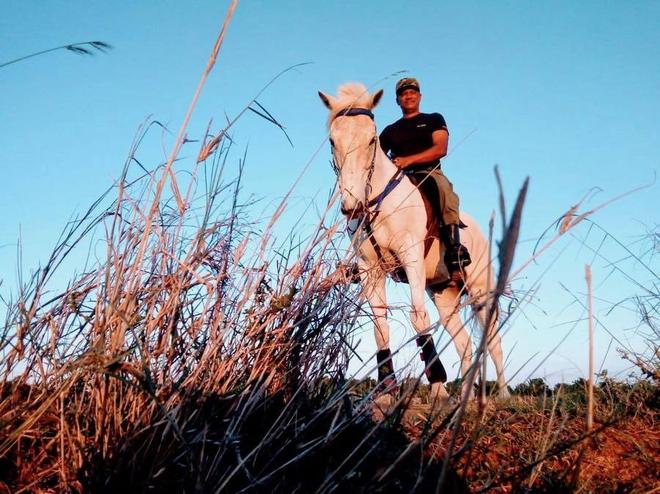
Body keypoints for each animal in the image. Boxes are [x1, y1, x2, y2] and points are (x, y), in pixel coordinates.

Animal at [318, 83, 510, 405]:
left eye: (372, 139)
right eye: (333, 140)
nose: (353, 207)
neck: (379, 202)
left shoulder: (411, 260)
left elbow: (418, 317)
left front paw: (438, 386)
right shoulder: (371, 270)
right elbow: (380, 326)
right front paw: (386, 390)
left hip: (480, 291)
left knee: (493, 340)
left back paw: (504, 395)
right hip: (445, 294)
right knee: (465, 343)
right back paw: (466, 397)